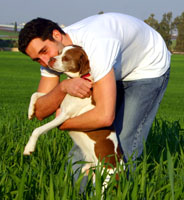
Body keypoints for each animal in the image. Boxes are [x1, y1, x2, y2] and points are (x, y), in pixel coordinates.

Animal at [23, 45, 123, 186]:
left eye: (66, 58)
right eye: (59, 52)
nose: (51, 59)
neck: (78, 79)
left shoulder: (64, 115)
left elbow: (37, 130)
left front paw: (29, 148)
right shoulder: (59, 106)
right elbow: (36, 94)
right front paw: (30, 111)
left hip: (106, 180)